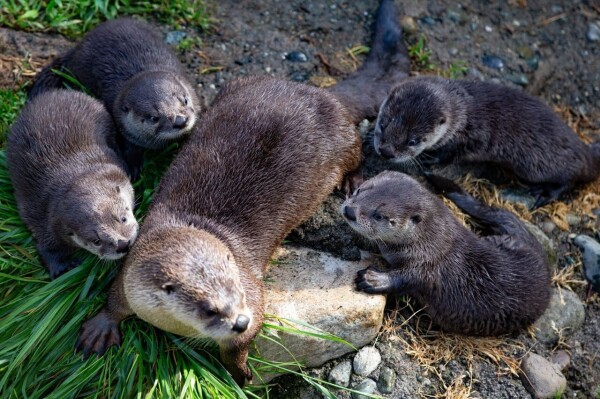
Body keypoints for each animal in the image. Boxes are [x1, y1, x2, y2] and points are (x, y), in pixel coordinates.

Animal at [6, 89, 138, 280]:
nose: (122, 244)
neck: (75, 176)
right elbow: (46, 246)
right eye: (96, 241)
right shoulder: (44, 219)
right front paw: (61, 268)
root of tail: (49, 94)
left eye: (123, 218)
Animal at [28, 17, 199, 180]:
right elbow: (130, 148)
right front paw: (133, 168)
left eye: (185, 100)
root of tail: (79, 47)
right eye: (154, 117)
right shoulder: (125, 130)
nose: (180, 121)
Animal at [75, 0, 410, 388]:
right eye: (209, 309)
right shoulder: (131, 270)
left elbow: (243, 341)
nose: (239, 320)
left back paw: (352, 182)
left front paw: (238, 371)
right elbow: (115, 297)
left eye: (235, 288)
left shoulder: (253, 293)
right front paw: (101, 326)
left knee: (358, 153)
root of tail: (320, 92)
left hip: (341, 136)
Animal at [340, 170, 552, 336]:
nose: (350, 211)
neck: (429, 242)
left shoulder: (429, 265)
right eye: (359, 191)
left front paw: (374, 279)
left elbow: (408, 278)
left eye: (379, 215)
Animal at [376, 76, 600, 208]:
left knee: (571, 179)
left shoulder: (473, 137)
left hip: (546, 167)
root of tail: (587, 153)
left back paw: (545, 193)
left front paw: (430, 159)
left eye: (413, 141)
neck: (463, 113)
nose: (386, 151)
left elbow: (453, 154)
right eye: (383, 123)